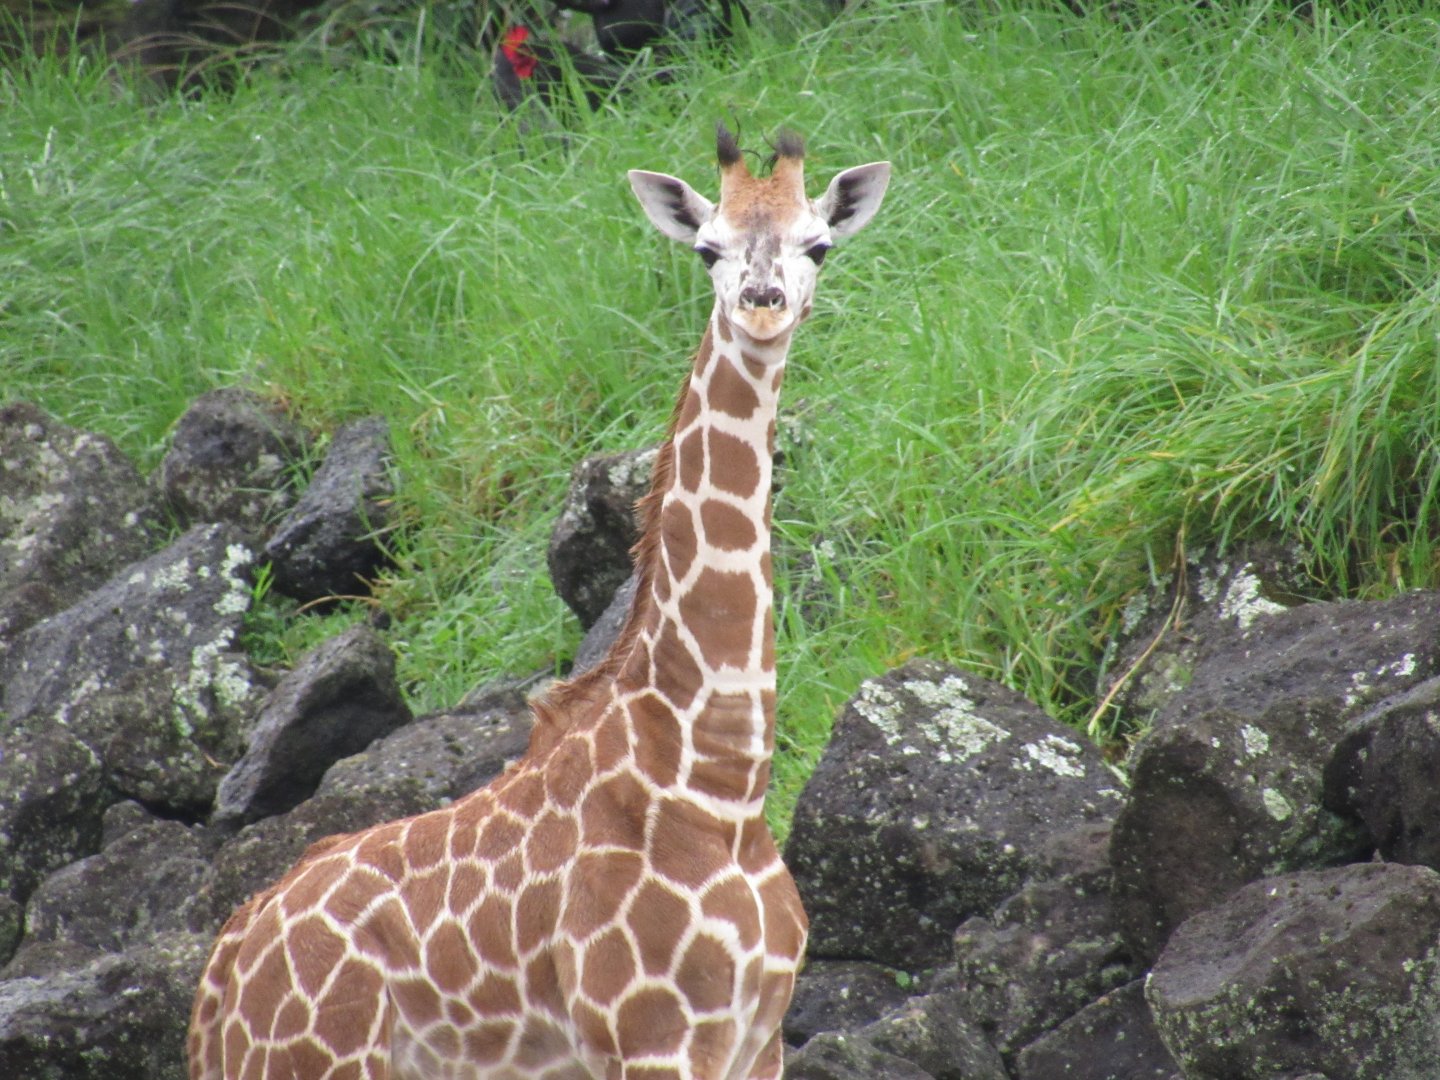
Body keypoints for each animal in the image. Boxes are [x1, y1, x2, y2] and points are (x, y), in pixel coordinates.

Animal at [188, 124, 890, 1080]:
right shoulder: (653, 1039)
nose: (762, 302)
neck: (720, 787)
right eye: (706, 249)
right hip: (315, 1066)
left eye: (816, 244)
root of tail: (221, 979)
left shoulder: (758, 1041)